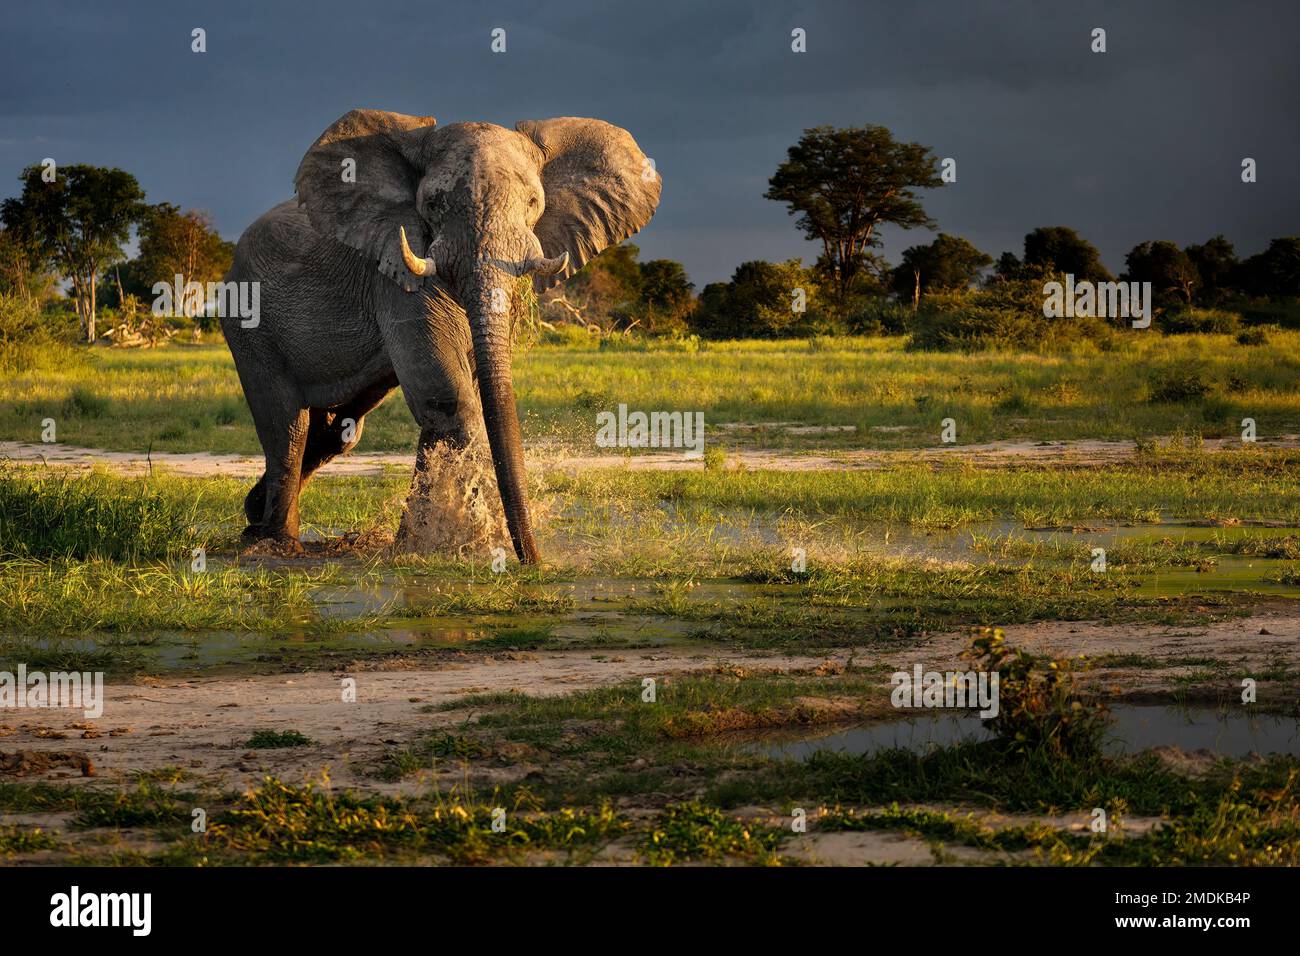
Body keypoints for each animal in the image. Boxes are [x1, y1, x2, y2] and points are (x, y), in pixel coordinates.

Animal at [222, 109, 660, 564]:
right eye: (433, 205)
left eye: (533, 204)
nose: (534, 563)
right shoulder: (395, 273)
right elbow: (451, 402)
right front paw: (467, 544)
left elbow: (455, 399)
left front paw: (417, 544)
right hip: (248, 324)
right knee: (287, 425)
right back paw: (275, 543)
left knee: (337, 431)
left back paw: (255, 518)